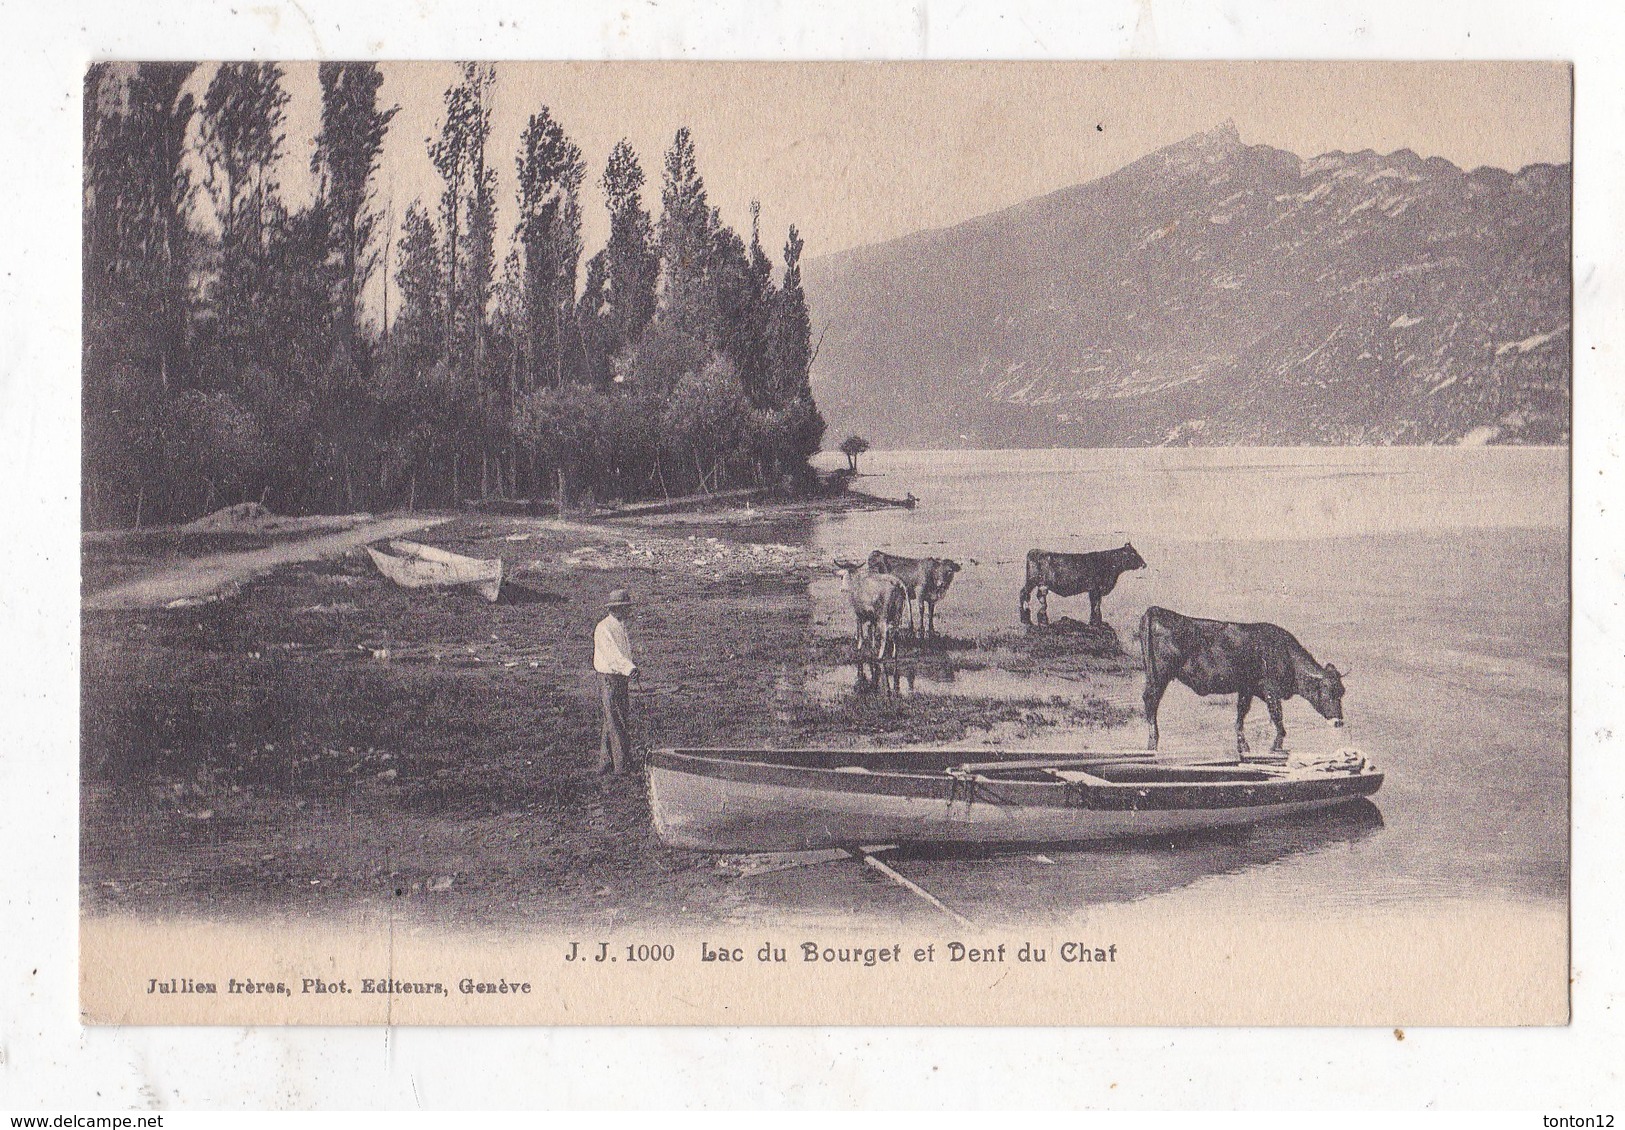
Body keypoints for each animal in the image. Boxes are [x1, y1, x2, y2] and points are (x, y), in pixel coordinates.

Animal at [1020, 543, 1150, 627]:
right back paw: (1025, 614)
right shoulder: (1095, 589)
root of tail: (1035, 550)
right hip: (1032, 580)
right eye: (1133, 554)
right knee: (1024, 593)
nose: (1144, 564)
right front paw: (1096, 621)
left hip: (1041, 584)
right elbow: (1096, 604)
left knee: (1040, 596)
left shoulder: (1094, 590)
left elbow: (1095, 604)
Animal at [1137, 604, 1352, 754]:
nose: (1339, 722)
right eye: (1329, 692)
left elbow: (1241, 713)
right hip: (1160, 677)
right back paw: (1153, 737)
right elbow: (1277, 716)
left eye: (1342, 692)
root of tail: (1156, 610)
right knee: (1151, 702)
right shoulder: (1270, 691)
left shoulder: (1246, 689)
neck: (1286, 654)